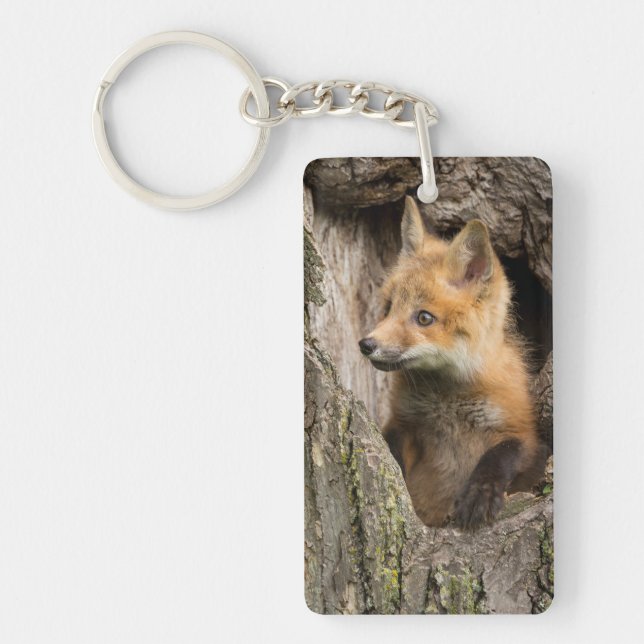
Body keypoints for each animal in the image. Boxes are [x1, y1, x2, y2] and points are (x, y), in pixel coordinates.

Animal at [359, 196, 544, 530]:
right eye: (389, 307)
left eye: (423, 318)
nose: (366, 345)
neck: (447, 401)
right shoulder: (404, 423)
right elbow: (392, 451)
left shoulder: (525, 433)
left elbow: (501, 454)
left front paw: (480, 494)